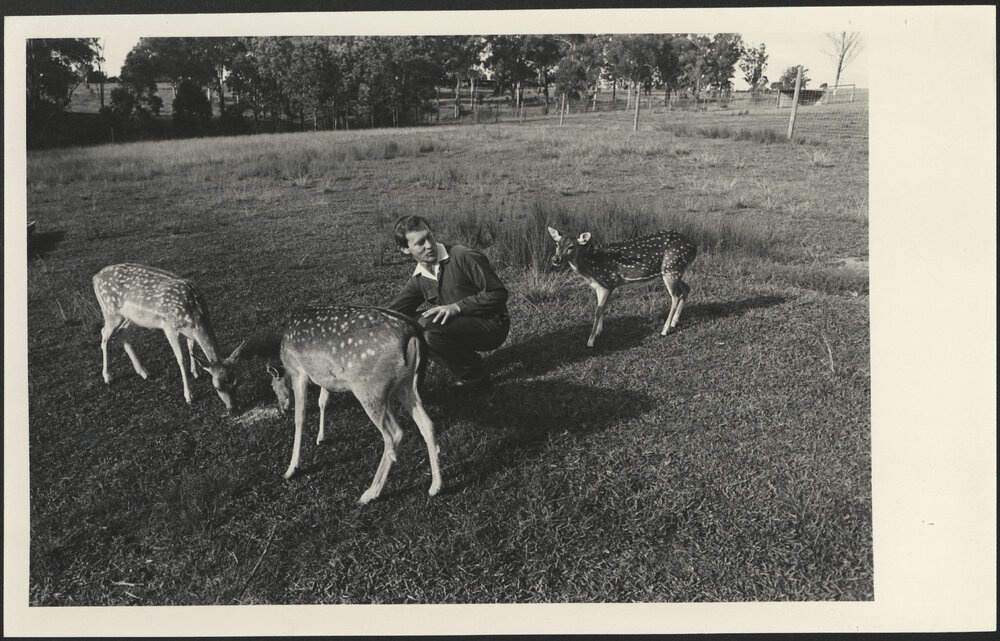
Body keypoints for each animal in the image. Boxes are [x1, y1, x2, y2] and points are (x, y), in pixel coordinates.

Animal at [92, 264, 247, 415]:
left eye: (237, 382)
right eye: (217, 387)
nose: (233, 409)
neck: (196, 313)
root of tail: (95, 277)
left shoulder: (190, 331)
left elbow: (191, 348)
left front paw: (195, 372)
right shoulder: (169, 327)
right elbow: (181, 358)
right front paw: (189, 396)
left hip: (132, 318)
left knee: (122, 333)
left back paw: (143, 372)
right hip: (110, 312)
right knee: (104, 334)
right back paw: (107, 377)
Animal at [267, 305, 442, 505]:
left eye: (272, 386)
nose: (281, 409)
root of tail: (414, 332)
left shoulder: (299, 372)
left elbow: (300, 417)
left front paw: (291, 469)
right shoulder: (325, 377)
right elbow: (323, 400)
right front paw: (321, 437)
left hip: (369, 388)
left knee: (395, 433)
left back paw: (370, 493)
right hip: (406, 385)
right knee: (427, 424)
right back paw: (435, 486)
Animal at [547, 227, 697, 347]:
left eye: (571, 246)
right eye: (557, 244)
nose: (555, 259)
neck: (591, 267)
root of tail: (694, 247)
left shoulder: (608, 283)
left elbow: (598, 310)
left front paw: (590, 341)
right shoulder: (599, 287)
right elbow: (601, 308)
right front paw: (599, 332)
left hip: (671, 268)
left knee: (675, 296)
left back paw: (665, 330)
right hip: (675, 271)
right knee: (686, 288)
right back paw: (674, 322)